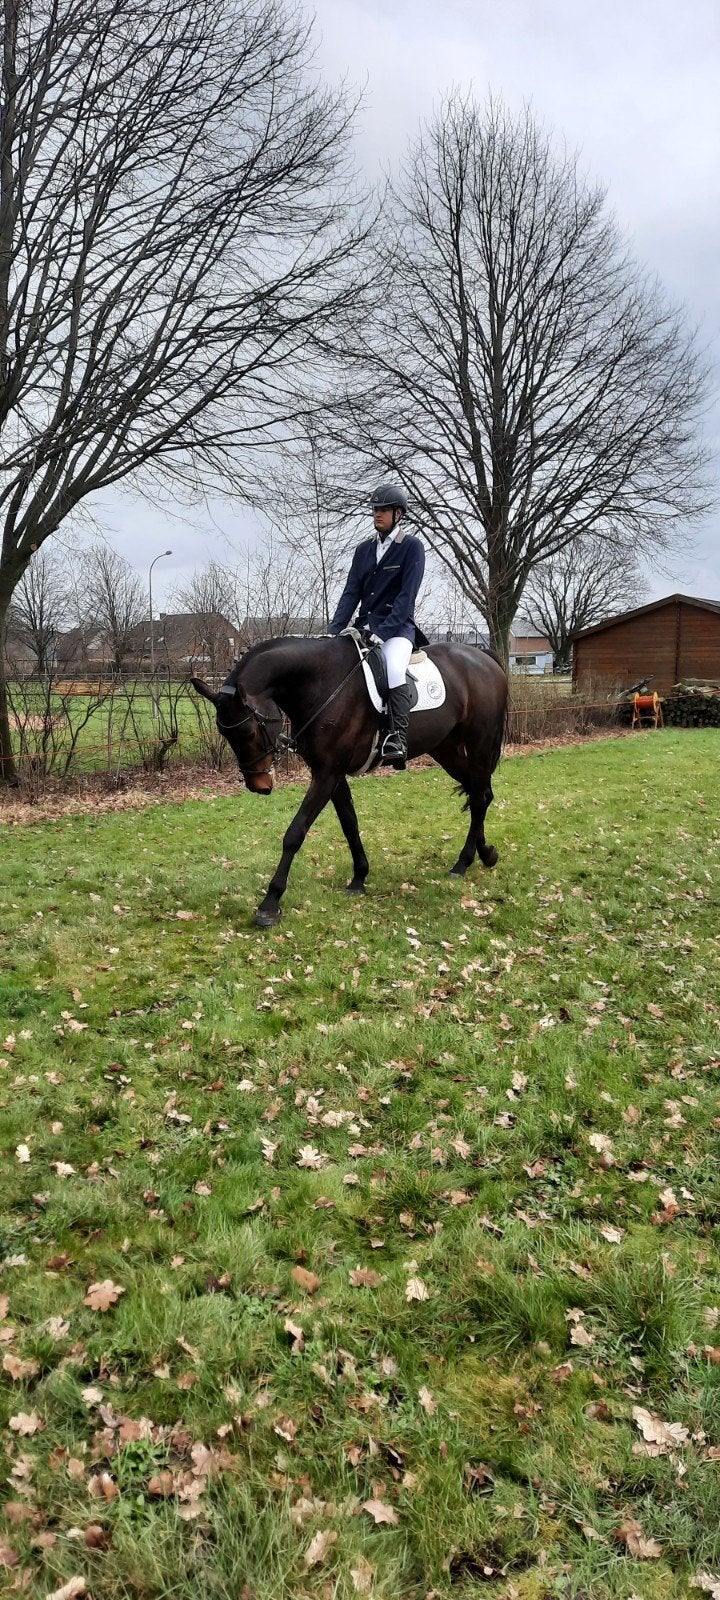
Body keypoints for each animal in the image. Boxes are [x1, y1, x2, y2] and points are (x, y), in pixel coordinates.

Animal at [191, 634, 507, 928]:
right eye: (224, 734)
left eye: (247, 733)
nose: (259, 787)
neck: (320, 682)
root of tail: (483, 657)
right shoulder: (331, 772)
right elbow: (349, 824)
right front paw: (359, 878)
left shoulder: (327, 773)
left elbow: (295, 833)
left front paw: (270, 904)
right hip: (446, 748)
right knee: (478, 793)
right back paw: (485, 853)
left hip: (479, 744)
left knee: (479, 797)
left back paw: (463, 862)